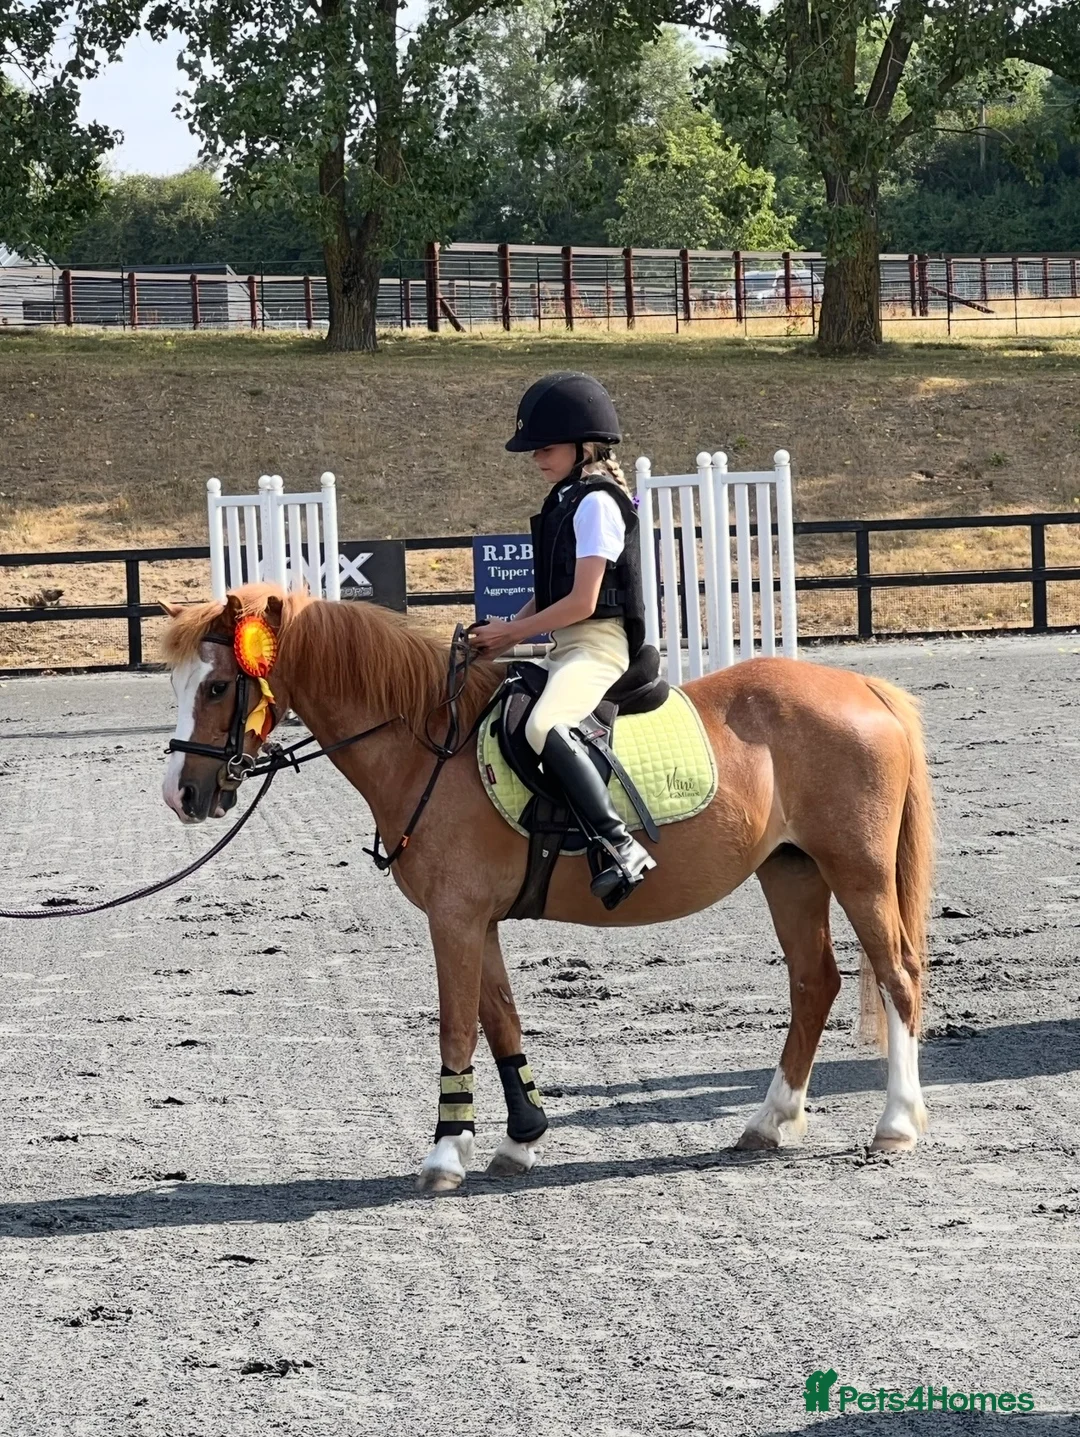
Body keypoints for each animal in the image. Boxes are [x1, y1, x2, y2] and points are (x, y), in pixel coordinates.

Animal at [161, 584, 934, 1192]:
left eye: (218, 686)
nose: (182, 795)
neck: (428, 743)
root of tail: (864, 688)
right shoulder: (477, 919)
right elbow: (500, 1017)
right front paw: (520, 1137)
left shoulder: (454, 917)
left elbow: (456, 1025)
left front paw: (445, 1155)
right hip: (791, 870)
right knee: (814, 981)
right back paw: (770, 1122)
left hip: (856, 870)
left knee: (897, 974)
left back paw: (895, 1125)